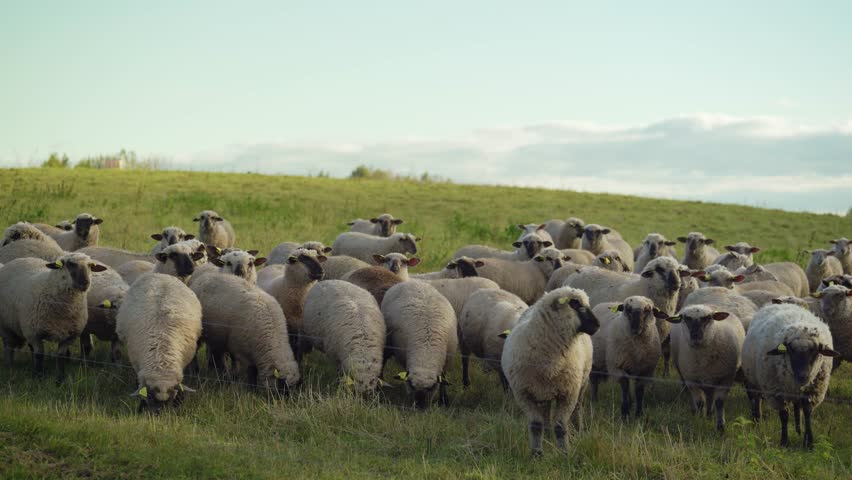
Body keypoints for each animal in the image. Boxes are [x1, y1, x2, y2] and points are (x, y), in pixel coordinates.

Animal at [0, 253, 107, 383]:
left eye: (90, 265)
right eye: (70, 264)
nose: (85, 283)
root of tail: (21, 258)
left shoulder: (69, 336)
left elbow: (60, 356)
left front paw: (60, 379)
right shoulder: (34, 333)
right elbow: (39, 355)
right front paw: (38, 377)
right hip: (6, 327)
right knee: (9, 347)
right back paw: (9, 366)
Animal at [382, 281, 457, 410]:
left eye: (431, 388)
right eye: (412, 386)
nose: (419, 407)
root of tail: (411, 281)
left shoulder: (446, 363)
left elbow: (443, 382)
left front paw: (444, 400)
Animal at [501, 287, 599, 456]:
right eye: (575, 304)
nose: (597, 325)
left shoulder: (568, 394)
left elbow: (560, 426)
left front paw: (565, 453)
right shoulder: (523, 394)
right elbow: (535, 425)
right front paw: (537, 454)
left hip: (582, 383)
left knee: (577, 410)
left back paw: (578, 431)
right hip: (544, 390)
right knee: (545, 412)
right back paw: (546, 434)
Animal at [741, 304, 838, 448]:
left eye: (815, 351)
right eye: (791, 350)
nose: (803, 376)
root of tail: (780, 304)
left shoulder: (812, 392)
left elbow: (807, 413)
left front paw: (809, 442)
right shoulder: (777, 393)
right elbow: (784, 415)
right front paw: (784, 442)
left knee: (797, 407)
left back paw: (799, 429)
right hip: (754, 380)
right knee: (756, 400)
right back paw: (757, 420)